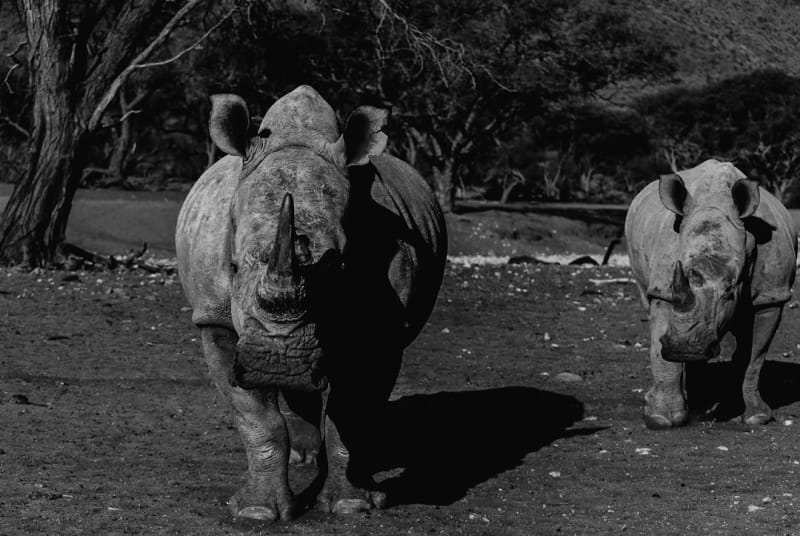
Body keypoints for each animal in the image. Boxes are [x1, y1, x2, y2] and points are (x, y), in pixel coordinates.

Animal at [175, 86, 447, 520]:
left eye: (341, 267)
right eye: (231, 266)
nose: (278, 362)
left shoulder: (384, 331)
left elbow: (350, 413)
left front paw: (353, 505)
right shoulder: (214, 319)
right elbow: (257, 417)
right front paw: (256, 512)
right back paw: (303, 457)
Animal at [626, 159, 797, 429]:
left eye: (730, 291)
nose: (685, 348)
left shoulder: (772, 297)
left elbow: (755, 356)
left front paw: (756, 417)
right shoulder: (664, 290)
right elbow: (659, 348)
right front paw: (660, 419)